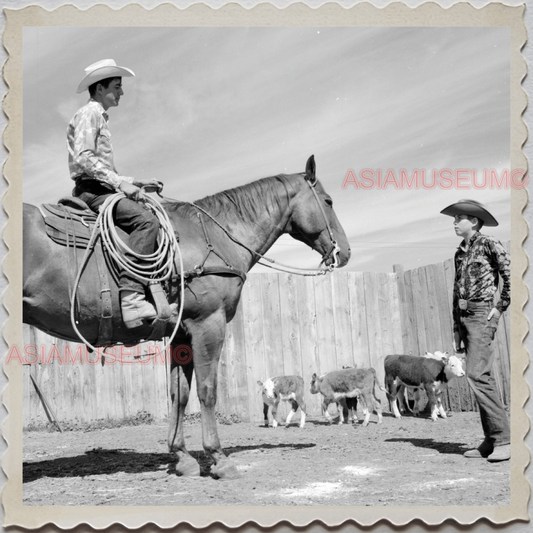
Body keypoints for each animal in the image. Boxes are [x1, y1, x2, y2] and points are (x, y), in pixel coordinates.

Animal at [23, 155, 350, 478]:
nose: (344, 252)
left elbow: (178, 394)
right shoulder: (209, 324)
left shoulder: (180, 333)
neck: (215, 237)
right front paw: (218, 457)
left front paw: (181, 457)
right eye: (328, 201)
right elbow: (207, 391)